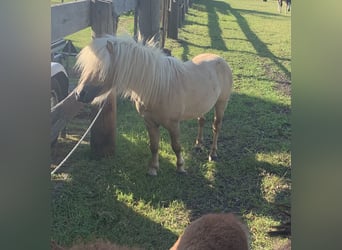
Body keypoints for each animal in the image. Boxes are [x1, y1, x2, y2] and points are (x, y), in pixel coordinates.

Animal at [75, 35, 232, 176]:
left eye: (102, 69)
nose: (79, 94)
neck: (158, 87)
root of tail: (220, 59)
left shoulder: (173, 124)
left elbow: (176, 146)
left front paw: (180, 167)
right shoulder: (150, 123)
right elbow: (154, 146)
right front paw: (153, 169)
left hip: (221, 103)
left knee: (216, 127)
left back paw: (213, 154)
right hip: (201, 106)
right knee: (201, 121)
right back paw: (198, 145)